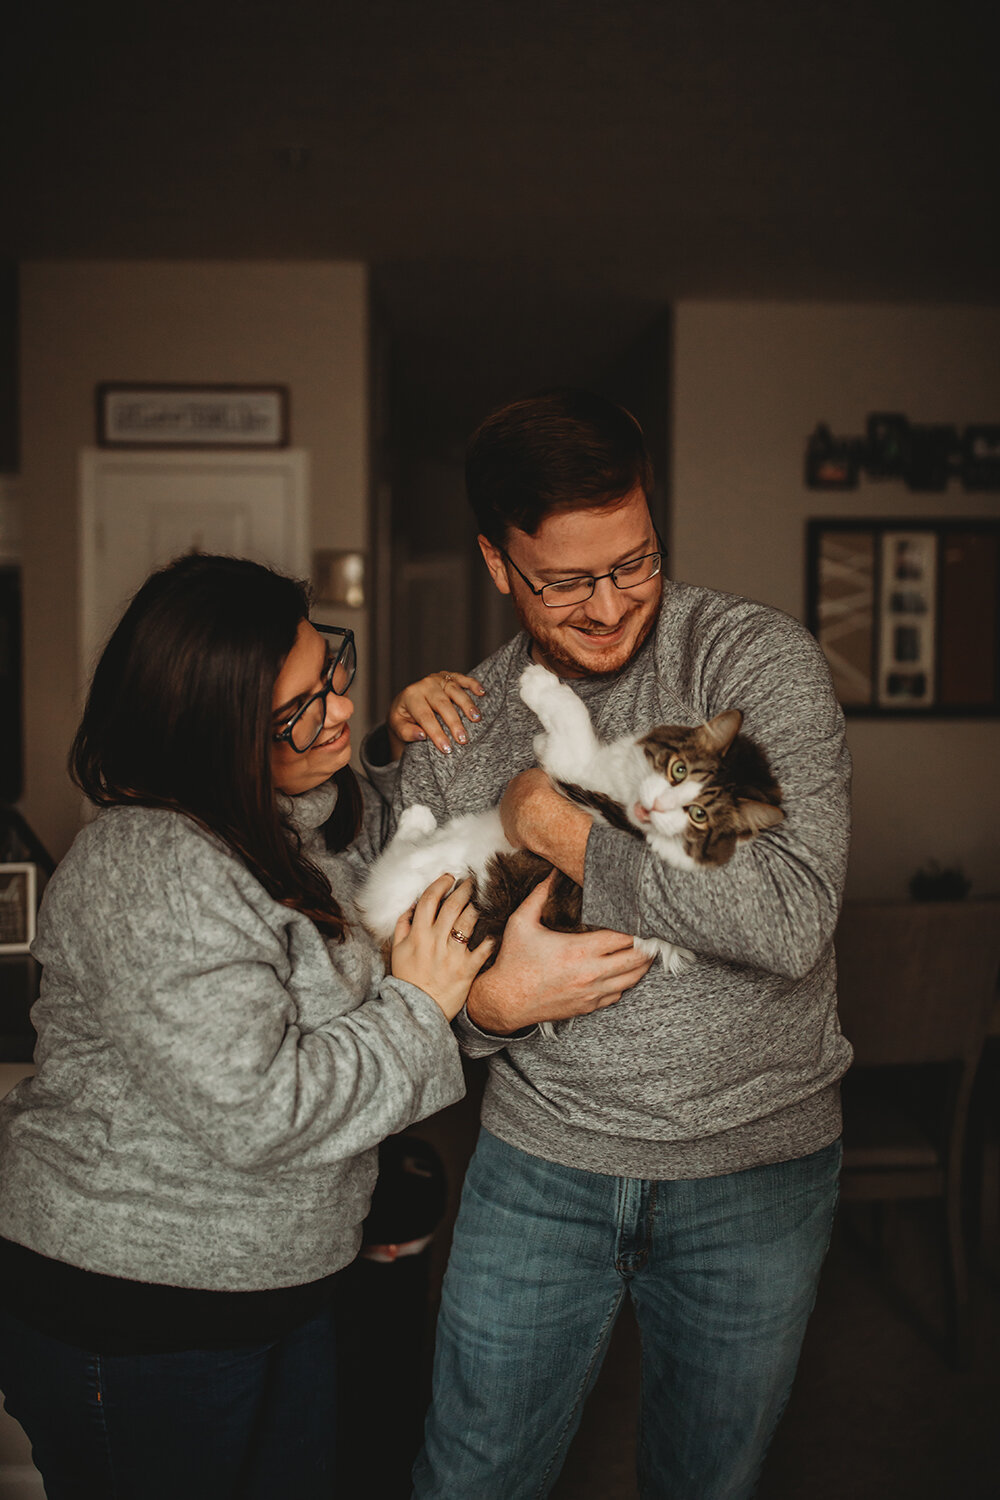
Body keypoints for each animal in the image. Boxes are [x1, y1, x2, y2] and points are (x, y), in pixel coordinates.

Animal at [355, 669, 785, 1032]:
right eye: (678, 771)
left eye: (699, 815)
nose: (654, 807)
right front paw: (540, 735)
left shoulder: (579, 768)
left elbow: (572, 716)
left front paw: (539, 683)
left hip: (414, 873)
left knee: (389, 859)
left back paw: (415, 820)